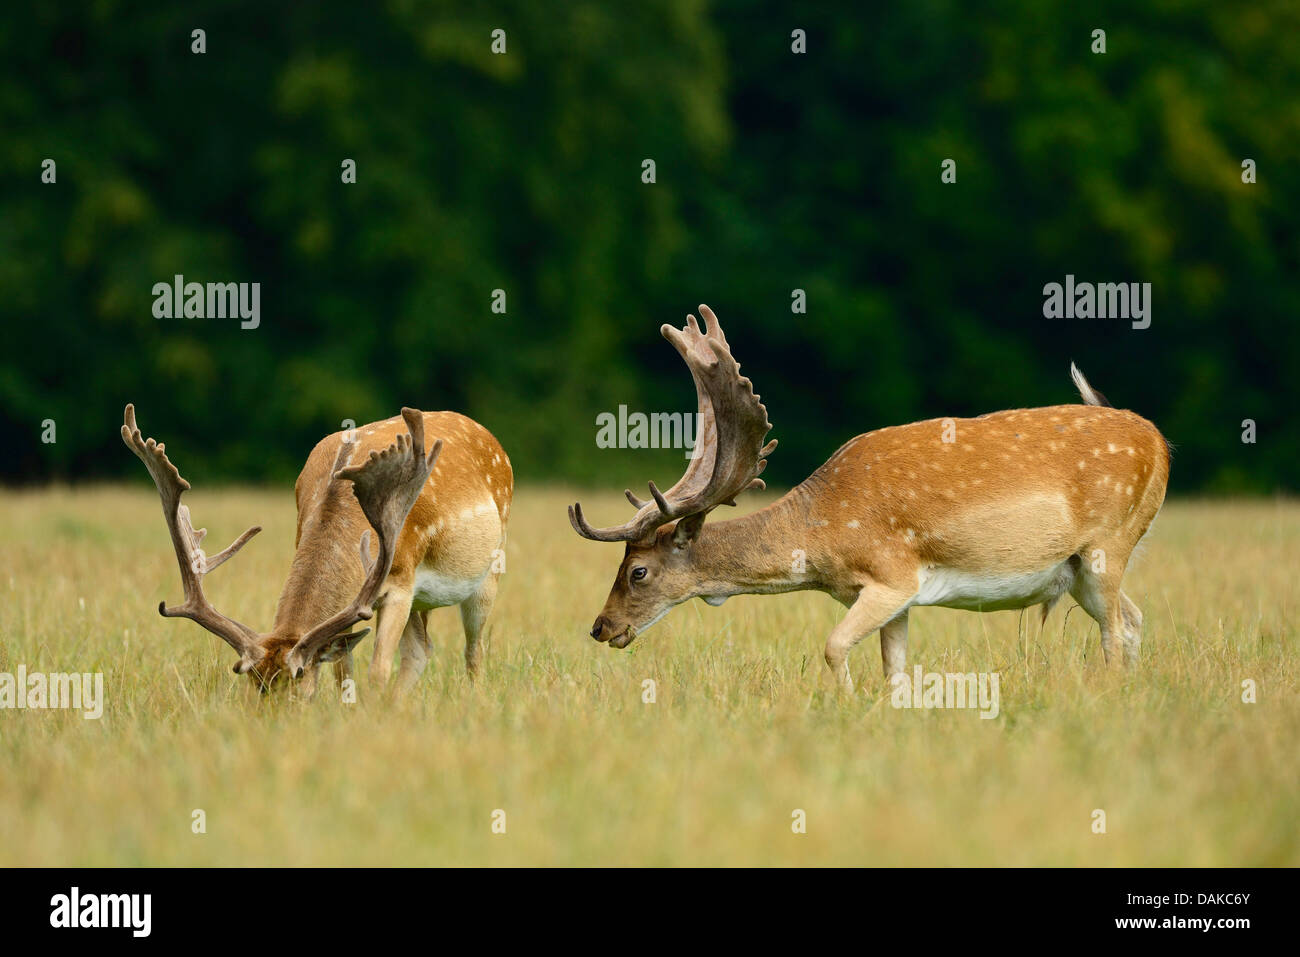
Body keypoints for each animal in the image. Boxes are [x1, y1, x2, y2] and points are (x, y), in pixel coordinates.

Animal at [119, 403, 509, 696]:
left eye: (298, 678)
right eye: (249, 679)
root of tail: (493, 439)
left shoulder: (400, 581)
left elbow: (378, 670)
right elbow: (343, 672)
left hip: (488, 571)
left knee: (473, 652)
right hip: (423, 600)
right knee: (422, 649)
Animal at [569, 304, 1170, 686]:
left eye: (638, 571)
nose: (600, 627)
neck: (821, 533)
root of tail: (1160, 443)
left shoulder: (892, 574)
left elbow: (833, 648)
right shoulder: (894, 598)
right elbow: (894, 671)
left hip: (1111, 542)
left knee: (1117, 629)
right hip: (1077, 571)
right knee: (1135, 618)